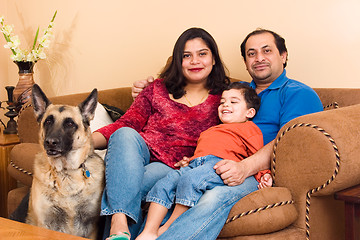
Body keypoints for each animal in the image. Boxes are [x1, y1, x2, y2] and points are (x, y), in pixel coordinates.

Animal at [26, 84, 104, 238]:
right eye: (48, 121)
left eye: (70, 124)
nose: (50, 142)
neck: (66, 172)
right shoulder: (45, 224)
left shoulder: (91, 227)